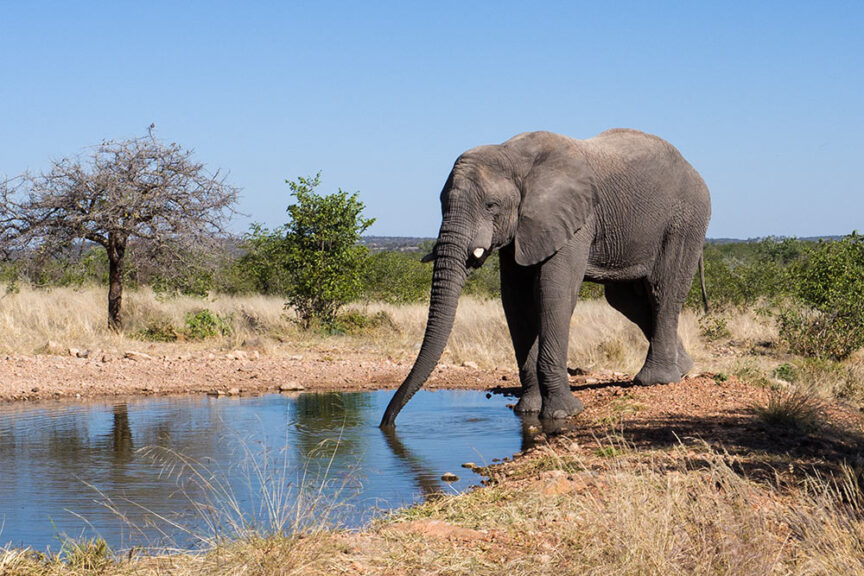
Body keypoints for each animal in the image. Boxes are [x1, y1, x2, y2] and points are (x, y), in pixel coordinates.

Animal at [380, 129, 710, 427]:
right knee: (627, 301)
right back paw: (683, 368)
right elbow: (515, 300)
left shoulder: (575, 220)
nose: (387, 424)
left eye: (491, 205)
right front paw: (527, 411)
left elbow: (555, 292)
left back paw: (656, 380)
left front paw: (563, 413)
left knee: (663, 290)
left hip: (685, 220)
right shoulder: (521, 229)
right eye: (440, 205)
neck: (512, 155)